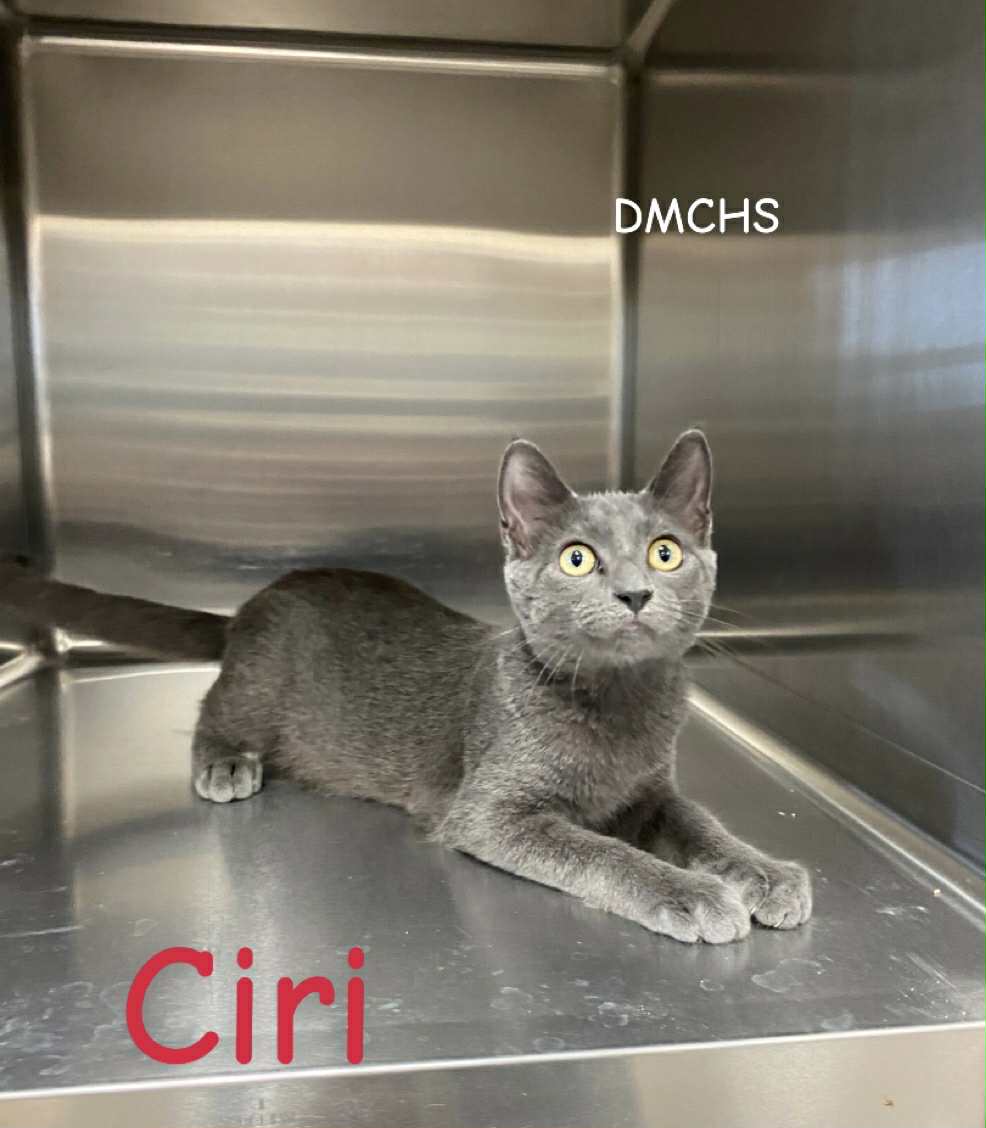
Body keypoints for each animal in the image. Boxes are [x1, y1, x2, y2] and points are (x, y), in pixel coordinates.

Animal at [1, 430, 811, 943]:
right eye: (577, 559)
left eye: (665, 552)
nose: (636, 594)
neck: (617, 705)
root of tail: (256, 602)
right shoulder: (489, 811)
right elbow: (602, 852)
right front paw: (693, 895)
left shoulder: (652, 791)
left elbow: (701, 823)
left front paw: (764, 874)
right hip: (257, 686)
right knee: (212, 706)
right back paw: (226, 762)